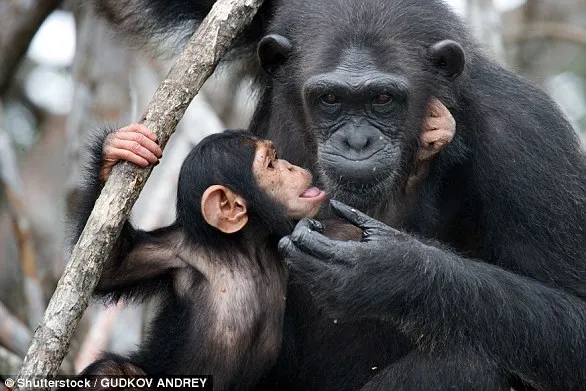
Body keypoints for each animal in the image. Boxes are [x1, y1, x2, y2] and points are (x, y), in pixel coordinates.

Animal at [91, 0, 584, 391]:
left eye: (383, 98)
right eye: (330, 99)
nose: (357, 141)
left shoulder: (527, 136)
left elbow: (573, 313)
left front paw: (387, 271)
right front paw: (117, 153)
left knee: (468, 364)